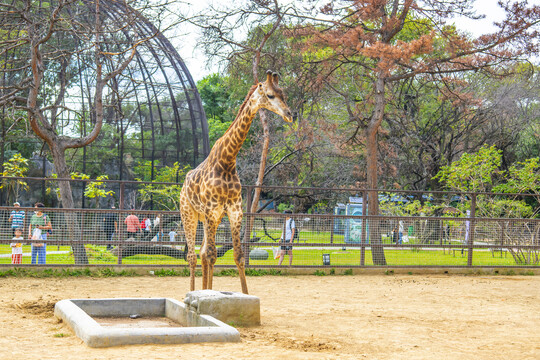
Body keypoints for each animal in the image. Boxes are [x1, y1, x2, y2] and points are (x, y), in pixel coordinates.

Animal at [179, 69, 294, 294]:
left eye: (283, 94)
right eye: (270, 95)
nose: (289, 115)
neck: (227, 161)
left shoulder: (234, 211)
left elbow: (238, 256)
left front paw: (243, 294)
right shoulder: (212, 210)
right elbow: (213, 255)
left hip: (209, 219)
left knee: (202, 252)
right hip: (189, 214)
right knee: (193, 256)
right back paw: (192, 293)